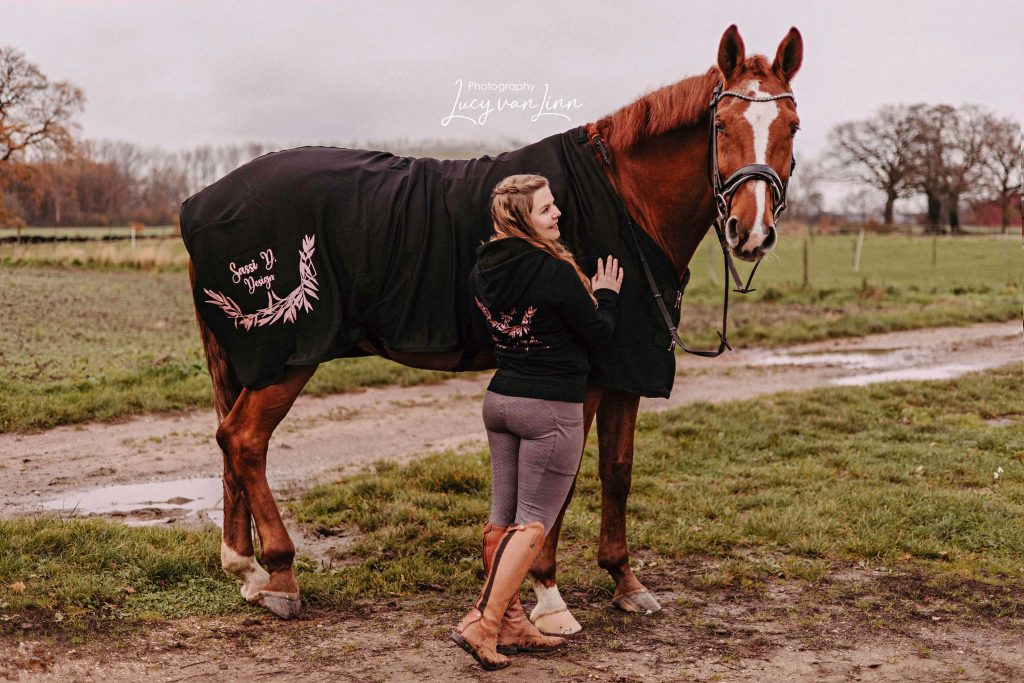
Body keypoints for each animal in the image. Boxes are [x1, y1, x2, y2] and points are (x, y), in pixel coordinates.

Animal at [181, 24, 802, 625]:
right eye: (720, 125)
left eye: (793, 127)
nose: (751, 231)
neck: (625, 201)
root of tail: (200, 204)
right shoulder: (586, 372)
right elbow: (563, 478)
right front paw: (547, 590)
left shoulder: (626, 367)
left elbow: (617, 471)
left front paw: (625, 582)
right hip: (287, 357)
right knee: (244, 440)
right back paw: (280, 573)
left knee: (230, 441)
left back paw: (246, 569)